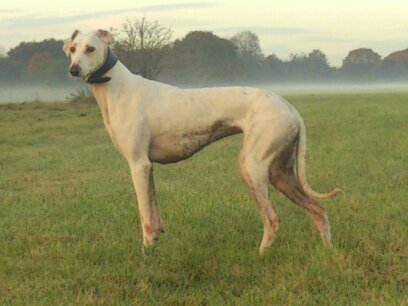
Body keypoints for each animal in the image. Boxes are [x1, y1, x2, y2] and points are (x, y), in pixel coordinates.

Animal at [63, 28, 338, 255]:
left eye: (91, 49)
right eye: (73, 49)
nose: (73, 69)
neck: (117, 87)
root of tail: (289, 108)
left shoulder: (138, 164)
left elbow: (145, 218)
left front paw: (146, 252)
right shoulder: (148, 168)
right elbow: (155, 214)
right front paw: (156, 244)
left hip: (253, 167)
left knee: (273, 220)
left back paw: (260, 255)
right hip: (281, 173)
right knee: (319, 210)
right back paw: (328, 251)